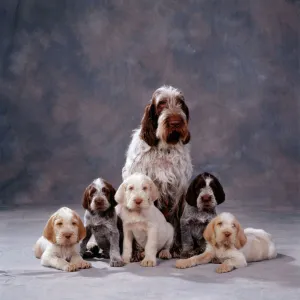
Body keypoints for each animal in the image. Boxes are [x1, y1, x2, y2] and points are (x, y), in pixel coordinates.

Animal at [122, 85, 192, 258]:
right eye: (161, 104)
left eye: (180, 103)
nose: (175, 122)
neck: (163, 149)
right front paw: (136, 251)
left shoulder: (178, 190)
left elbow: (176, 221)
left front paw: (177, 248)